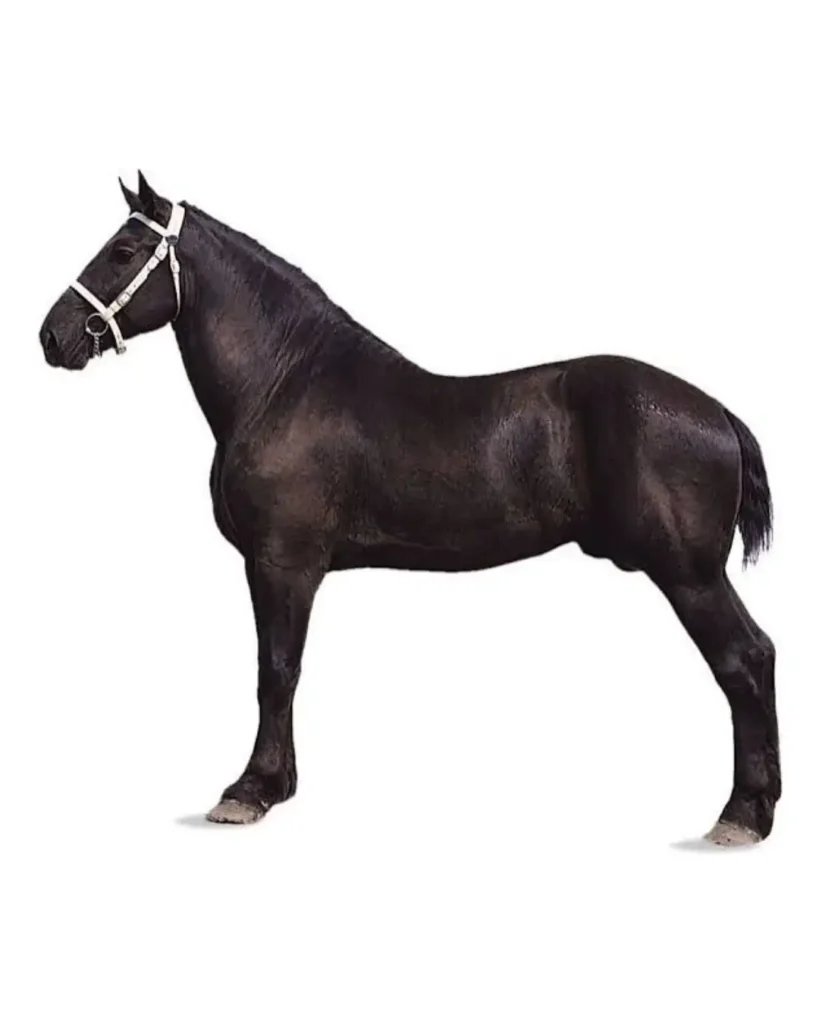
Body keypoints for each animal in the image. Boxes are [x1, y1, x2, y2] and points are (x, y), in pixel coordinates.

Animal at [39, 173, 780, 845]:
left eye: (124, 251)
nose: (52, 336)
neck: (285, 382)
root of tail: (715, 411)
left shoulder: (281, 563)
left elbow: (276, 671)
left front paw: (251, 791)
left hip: (688, 575)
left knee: (744, 660)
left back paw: (740, 815)